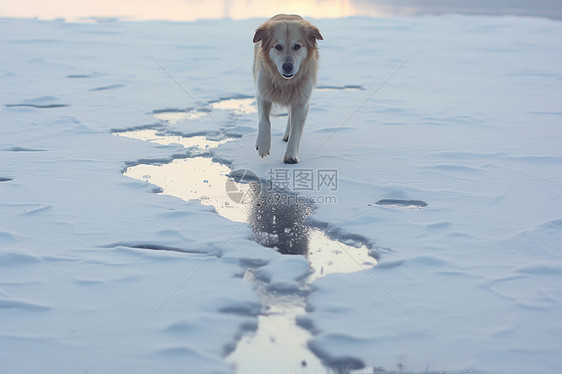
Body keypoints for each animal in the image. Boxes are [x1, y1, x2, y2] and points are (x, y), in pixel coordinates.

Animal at [252, 14, 322, 164]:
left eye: (297, 46)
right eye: (278, 46)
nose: (288, 66)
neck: (285, 82)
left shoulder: (302, 101)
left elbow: (296, 129)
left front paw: (290, 155)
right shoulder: (262, 92)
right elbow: (264, 120)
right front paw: (263, 145)